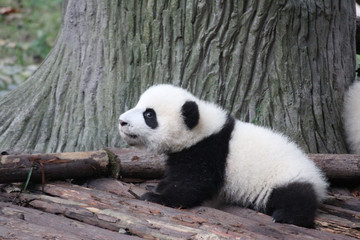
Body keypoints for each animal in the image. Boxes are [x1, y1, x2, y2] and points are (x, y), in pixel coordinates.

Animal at [119, 85, 330, 229]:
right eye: (138, 105)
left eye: (149, 115)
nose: (122, 121)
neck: (201, 129)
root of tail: (319, 180)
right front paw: (157, 187)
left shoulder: (209, 151)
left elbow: (193, 183)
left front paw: (156, 197)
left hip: (285, 176)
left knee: (295, 196)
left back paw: (285, 216)